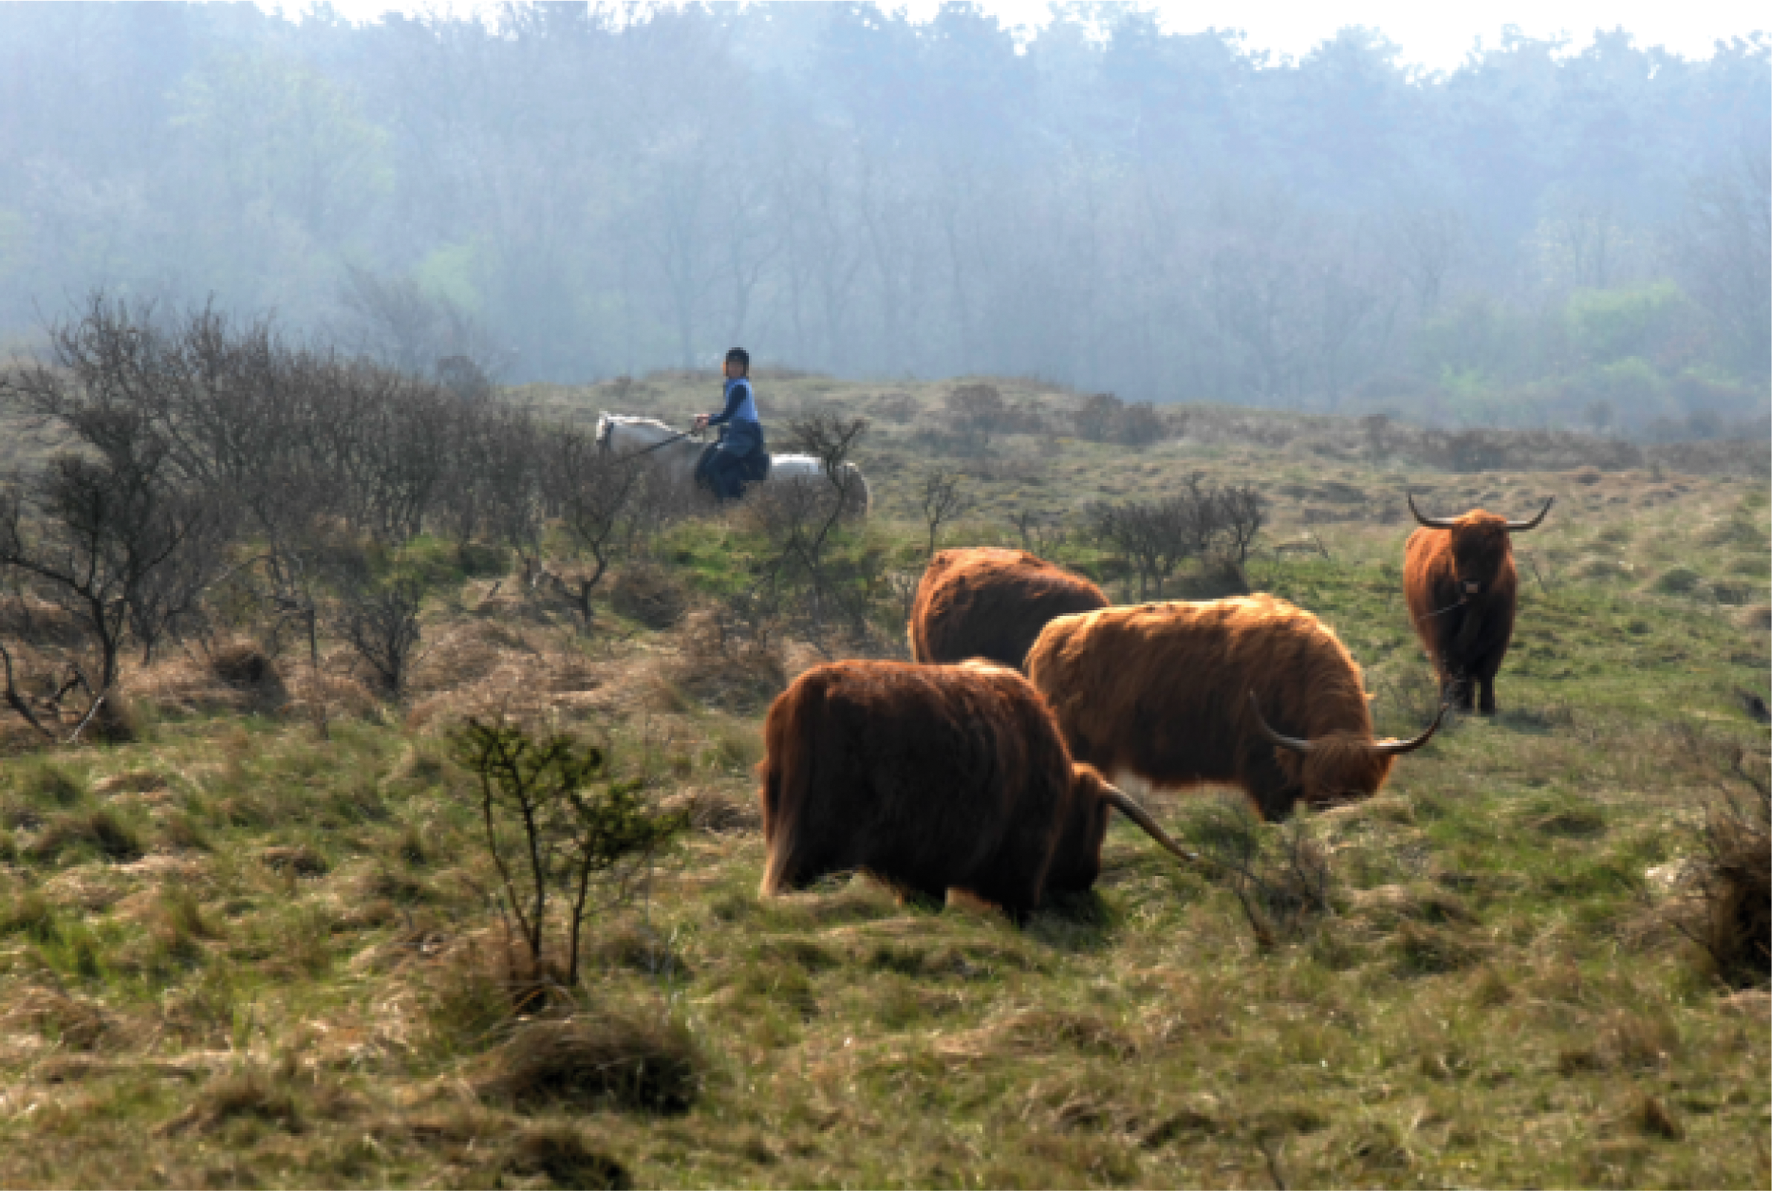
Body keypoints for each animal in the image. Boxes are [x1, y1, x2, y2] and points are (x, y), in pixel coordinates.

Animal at [754, 655, 1197, 914]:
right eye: (1096, 825)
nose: (1087, 880)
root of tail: (810, 689)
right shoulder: (1017, 868)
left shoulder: (924, 868)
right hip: (817, 848)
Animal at [1403, 496, 1559, 716]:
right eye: (1457, 551)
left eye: (1492, 554)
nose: (1471, 585)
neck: (1473, 609)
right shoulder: (1439, 633)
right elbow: (1449, 667)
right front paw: (1451, 704)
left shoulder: (1499, 635)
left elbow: (1486, 671)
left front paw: (1488, 707)